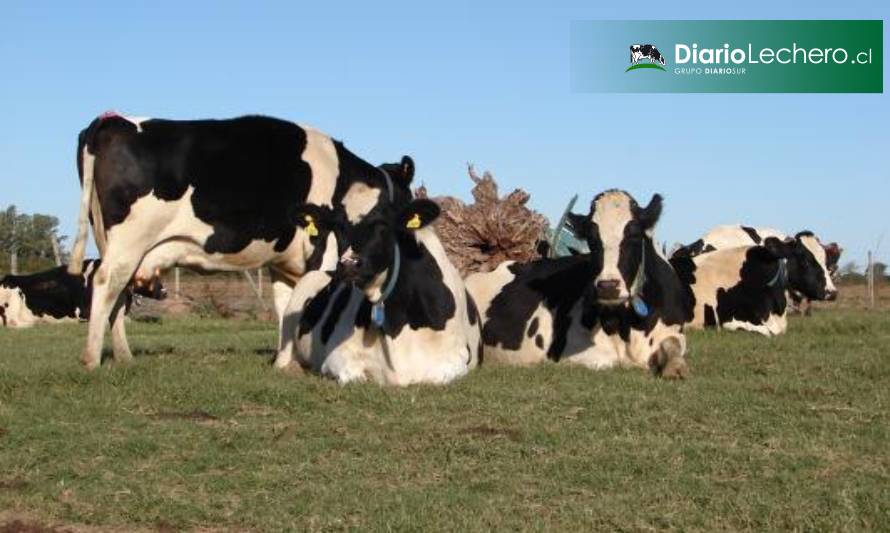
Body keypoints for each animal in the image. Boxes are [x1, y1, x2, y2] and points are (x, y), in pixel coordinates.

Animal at [67, 111, 414, 370]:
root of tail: (112, 120)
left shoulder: (282, 263)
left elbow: (285, 309)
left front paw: (284, 362)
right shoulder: (322, 257)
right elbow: (300, 306)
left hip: (113, 242)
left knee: (118, 294)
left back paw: (124, 357)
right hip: (130, 240)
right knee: (105, 284)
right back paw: (92, 359)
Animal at [276, 197, 478, 384]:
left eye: (384, 224)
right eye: (338, 226)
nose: (349, 265)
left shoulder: (459, 357)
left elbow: (434, 376)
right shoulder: (335, 354)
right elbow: (354, 376)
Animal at [464, 189, 688, 376]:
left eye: (634, 235)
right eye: (592, 239)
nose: (608, 287)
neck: (628, 325)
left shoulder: (674, 330)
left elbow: (674, 344)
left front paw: (675, 368)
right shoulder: (571, 350)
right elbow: (608, 361)